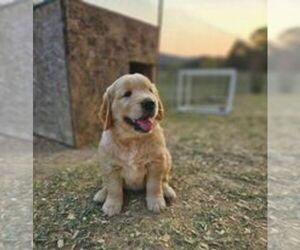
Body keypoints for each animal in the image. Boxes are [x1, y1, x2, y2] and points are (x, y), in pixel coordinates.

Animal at [94, 73, 176, 216]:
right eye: (127, 94)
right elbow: (114, 188)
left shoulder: (156, 162)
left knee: (164, 179)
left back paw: (167, 190)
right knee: (106, 184)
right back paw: (102, 193)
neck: (133, 139)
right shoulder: (111, 166)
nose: (150, 103)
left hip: (167, 157)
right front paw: (112, 205)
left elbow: (154, 185)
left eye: (150, 91)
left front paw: (156, 202)